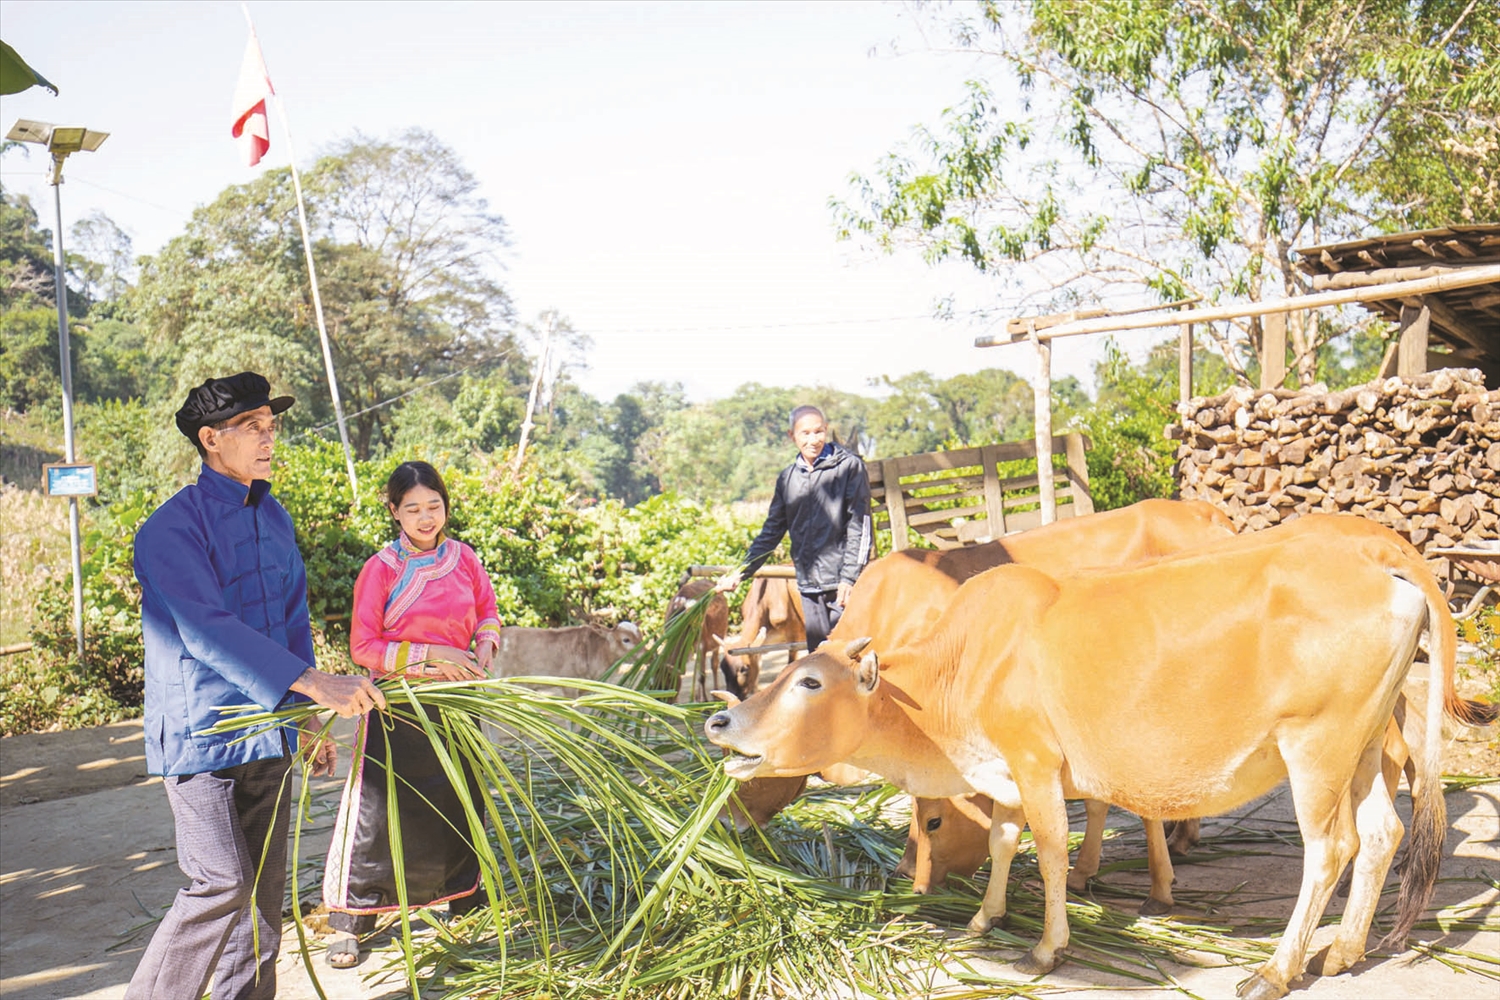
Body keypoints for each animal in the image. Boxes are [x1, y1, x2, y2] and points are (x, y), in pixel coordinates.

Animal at [708, 515, 1482, 1000]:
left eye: (809, 682)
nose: (719, 721)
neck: (956, 667)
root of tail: (1389, 560)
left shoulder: (1034, 760)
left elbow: (1049, 848)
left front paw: (1049, 945)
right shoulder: (1006, 772)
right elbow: (1004, 839)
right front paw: (985, 918)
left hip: (1316, 748)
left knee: (1331, 848)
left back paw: (1276, 969)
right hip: (1361, 746)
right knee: (1382, 833)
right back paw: (1344, 950)